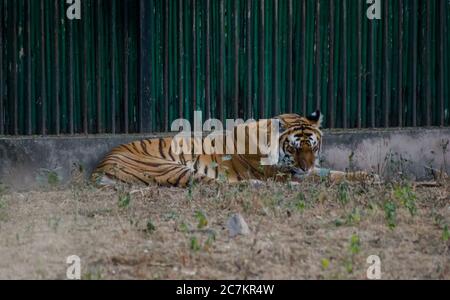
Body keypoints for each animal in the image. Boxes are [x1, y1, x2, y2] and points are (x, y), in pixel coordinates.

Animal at [91, 111, 376, 188]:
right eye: (294, 149)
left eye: (313, 148)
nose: (306, 166)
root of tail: (100, 164)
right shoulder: (282, 172)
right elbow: (326, 177)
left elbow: (335, 172)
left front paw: (369, 176)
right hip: (170, 168)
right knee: (214, 184)